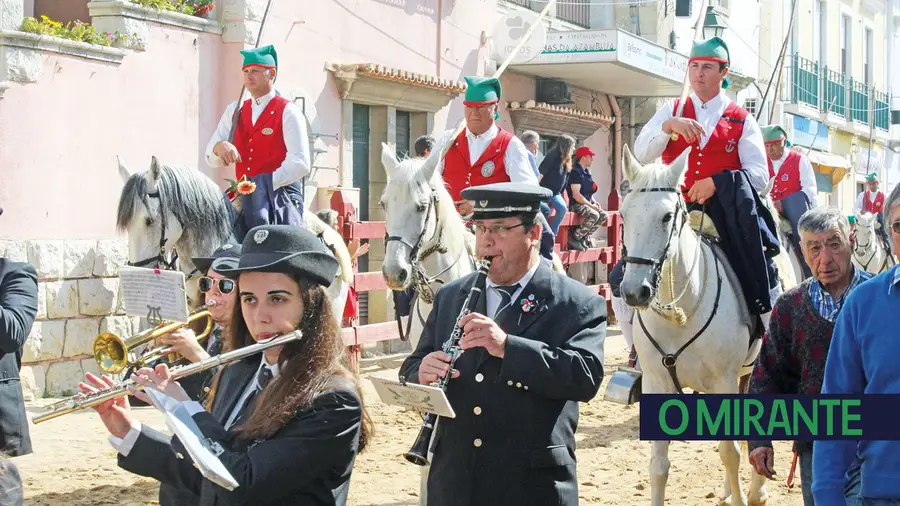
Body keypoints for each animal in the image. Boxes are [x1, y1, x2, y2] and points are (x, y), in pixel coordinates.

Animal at [620, 146, 772, 506]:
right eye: (624, 215)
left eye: (665, 217)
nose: (634, 292)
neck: (682, 314)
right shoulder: (656, 384)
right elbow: (659, 466)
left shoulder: (724, 382)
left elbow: (729, 452)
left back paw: (756, 490)